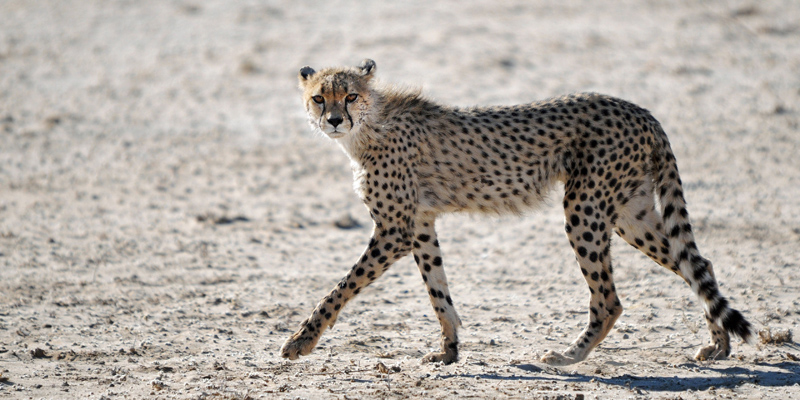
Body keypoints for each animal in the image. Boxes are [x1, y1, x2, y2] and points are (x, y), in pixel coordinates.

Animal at [280, 59, 752, 366]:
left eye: (351, 96)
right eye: (319, 98)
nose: (334, 120)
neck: (370, 126)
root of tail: (640, 110)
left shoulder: (395, 229)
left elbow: (341, 287)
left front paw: (301, 341)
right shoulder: (421, 224)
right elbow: (438, 291)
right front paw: (449, 350)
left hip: (585, 207)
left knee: (610, 299)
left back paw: (568, 356)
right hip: (629, 212)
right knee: (697, 263)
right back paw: (720, 345)